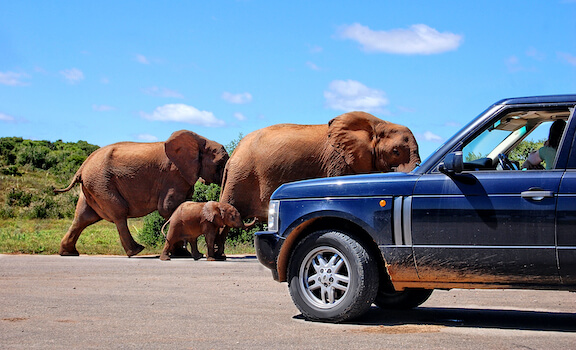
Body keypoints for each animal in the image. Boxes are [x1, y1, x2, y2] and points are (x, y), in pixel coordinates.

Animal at [54, 130, 230, 256]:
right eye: (221, 163)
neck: (200, 141)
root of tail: (82, 167)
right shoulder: (174, 175)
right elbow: (169, 208)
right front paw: (181, 254)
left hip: (93, 186)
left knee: (84, 217)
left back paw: (68, 253)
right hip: (101, 183)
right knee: (118, 213)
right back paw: (136, 250)